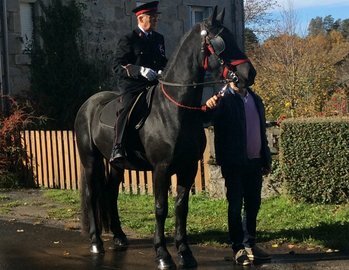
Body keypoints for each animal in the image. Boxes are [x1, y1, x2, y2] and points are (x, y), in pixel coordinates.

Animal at [75, 6, 256, 270]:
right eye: (220, 42)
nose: (248, 73)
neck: (176, 109)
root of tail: (87, 104)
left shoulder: (188, 167)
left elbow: (181, 208)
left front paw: (185, 253)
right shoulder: (161, 169)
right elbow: (161, 208)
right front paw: (162, 254)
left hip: (117, 164)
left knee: (110, 193)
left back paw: (119, 237)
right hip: (90, 160)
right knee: (92, 195)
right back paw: (96, 242)